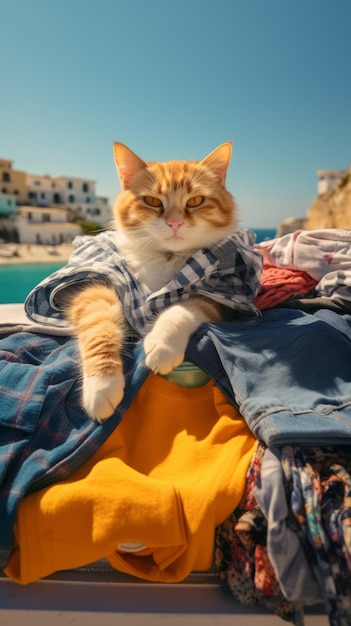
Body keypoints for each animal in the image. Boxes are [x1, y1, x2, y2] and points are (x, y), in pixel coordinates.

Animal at [66, 141, 236, 422]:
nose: (175, 222)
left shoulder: (222, 293)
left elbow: (182, 308)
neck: (167, 257)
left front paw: (163, 343)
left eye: (196, 201)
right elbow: (98, 324)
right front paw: (101, 385)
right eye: (152, 201)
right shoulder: (96, 280)